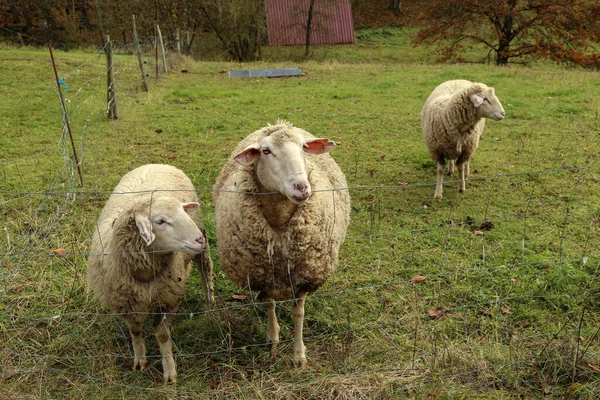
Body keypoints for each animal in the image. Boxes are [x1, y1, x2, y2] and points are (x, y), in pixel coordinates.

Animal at [86, 163, 213, 384]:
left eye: (182, 211)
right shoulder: (125, 304)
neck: (143, 274)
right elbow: (135, 331)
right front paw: (140, 360)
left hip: (200, 248)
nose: (199, 239)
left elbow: (162, 336)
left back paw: (210, 306)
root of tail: (155, 163)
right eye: (160, 221)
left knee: (206, 272)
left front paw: (169, 371)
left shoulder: (168, 300)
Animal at [213, 120, 352, 368]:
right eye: (266, 151)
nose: (301, 187)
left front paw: (299, 356)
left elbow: (298, 315)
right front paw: (273, 341)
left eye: (303, 147)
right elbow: (269, 306)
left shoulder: (304, 276)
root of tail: (278, 122)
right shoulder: (263, 276)